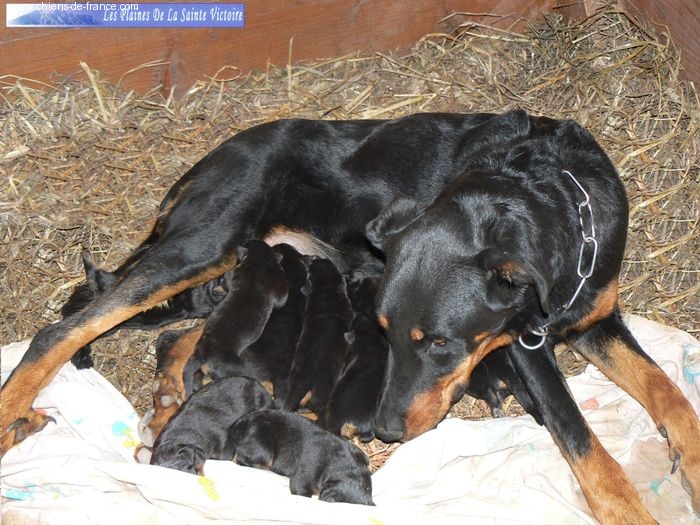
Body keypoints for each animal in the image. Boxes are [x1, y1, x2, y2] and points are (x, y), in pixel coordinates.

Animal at [185, 238, 288, 392]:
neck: (258, 260)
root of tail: (203, 353)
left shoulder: (231, 275)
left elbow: (226, 281)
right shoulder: (278, 287)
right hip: (238, 368)